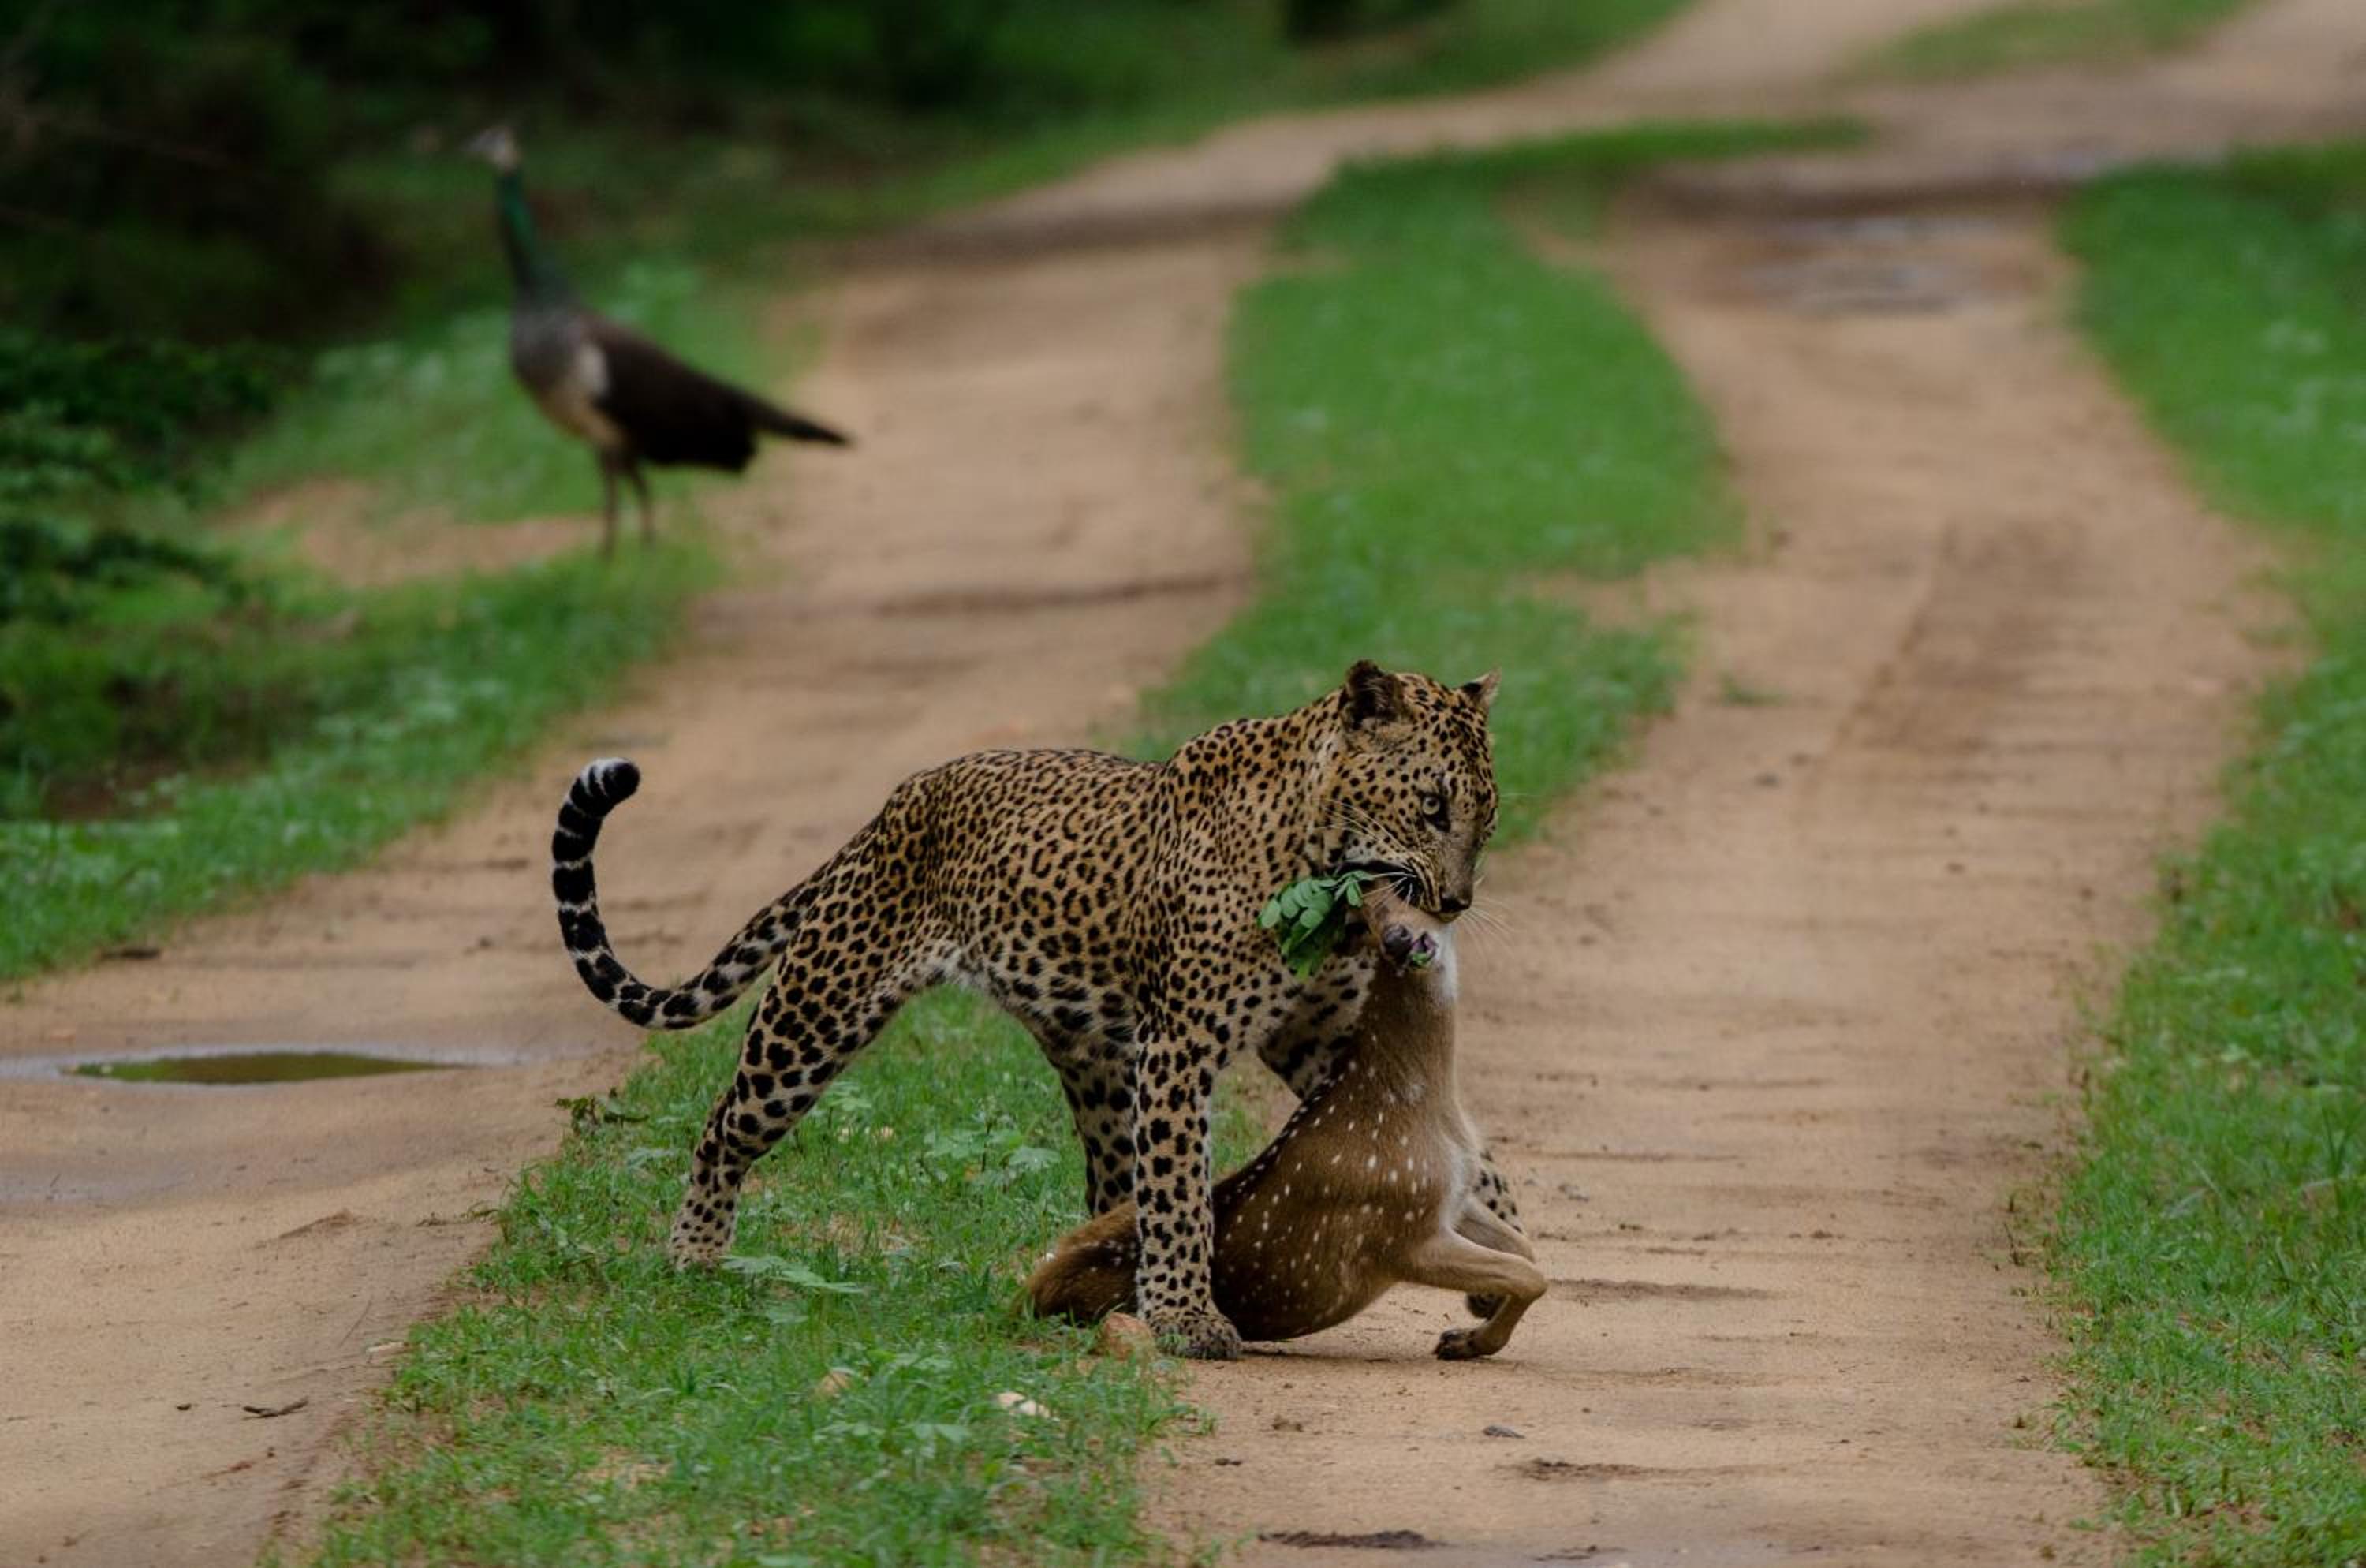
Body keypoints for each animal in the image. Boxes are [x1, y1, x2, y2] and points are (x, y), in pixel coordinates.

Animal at [550, 659, 1515, 1360]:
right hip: (815, 1015)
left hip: (1095, 1068)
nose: (1458, 901)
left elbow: (1476, 1160)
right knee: (721, 1127)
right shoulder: (1180, 1048)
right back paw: (693, 1259)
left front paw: (1498, 1267)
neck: (1321, 866)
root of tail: (888, 812)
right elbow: (1180, 1197)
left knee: (1111, 1191)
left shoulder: (1326, 1038)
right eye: (1432, 807)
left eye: (1488, 819)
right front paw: (1186, 1319)